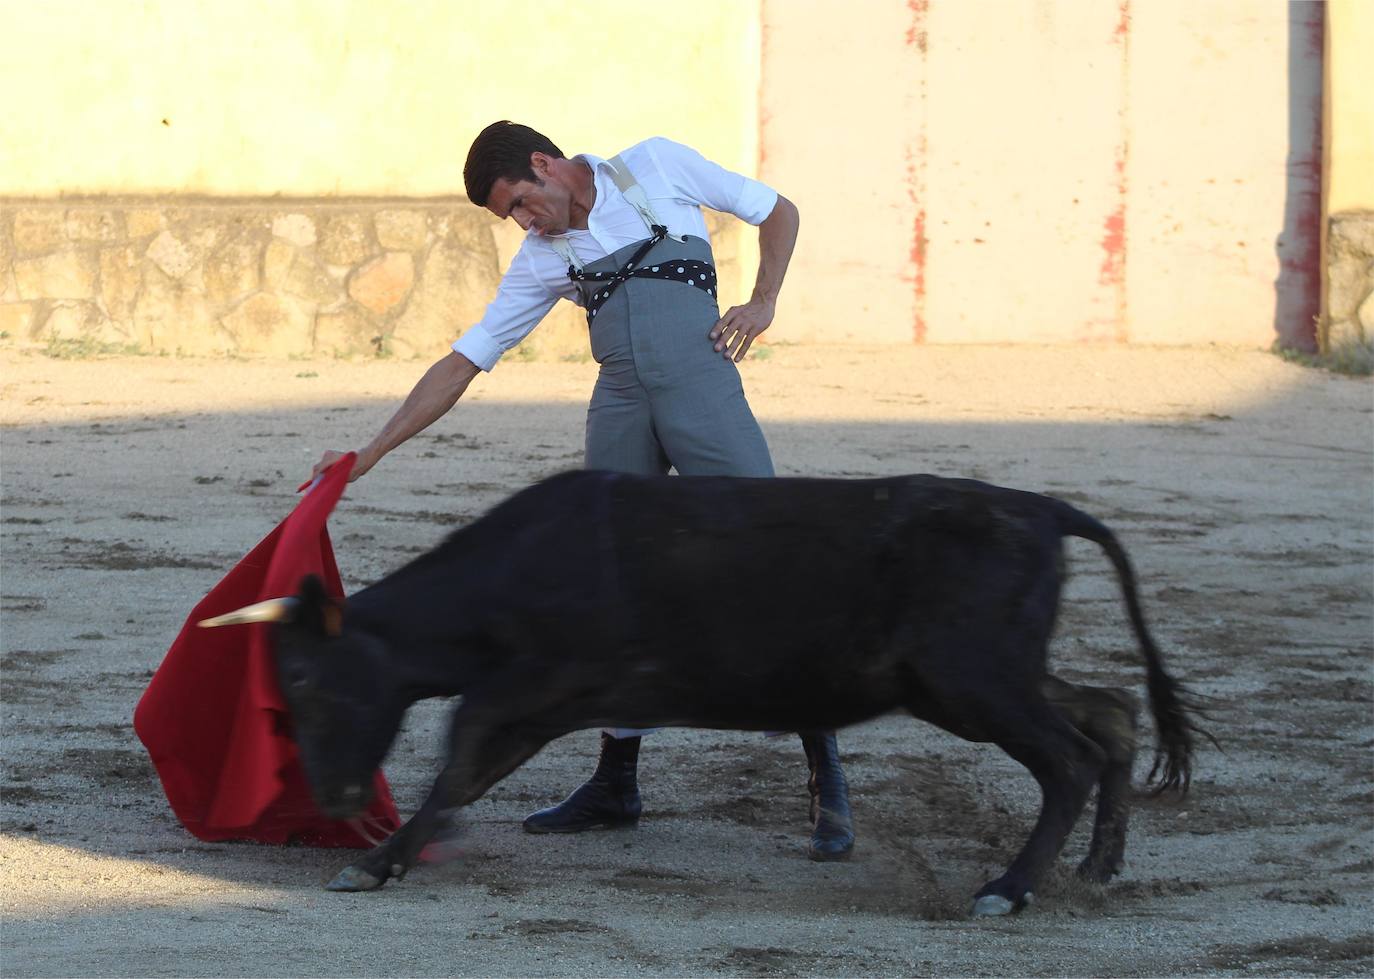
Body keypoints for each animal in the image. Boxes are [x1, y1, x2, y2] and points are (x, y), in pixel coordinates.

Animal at [236, 472, 1203, 917]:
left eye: (305, 678)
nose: (336, 797)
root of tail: (1043, 509)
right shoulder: (544, 700)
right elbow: (469, 766)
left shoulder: (540, 686)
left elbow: (460, 760)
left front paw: (373, 861)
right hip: (979, 681)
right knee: (1110, 714)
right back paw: (1096, 868)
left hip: (974, 683)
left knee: (1069, 757)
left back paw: (1008, 886)